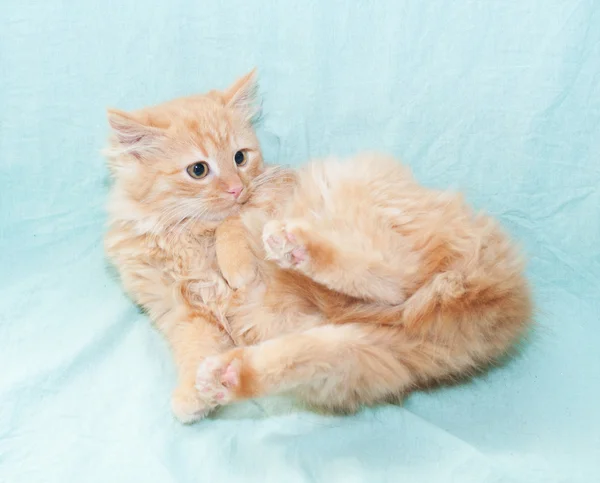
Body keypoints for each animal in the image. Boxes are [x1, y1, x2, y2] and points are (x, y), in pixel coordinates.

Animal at [104, 69, 278, 424]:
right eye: (198, 170)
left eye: (240, 157)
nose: (236, 188)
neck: (187, 237)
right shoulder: (184, 311)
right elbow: (197, 348)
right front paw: (194, 394)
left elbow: (235, 219)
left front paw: (237, 269)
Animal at [195, 153, 532, 414]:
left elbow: (230, 226)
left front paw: (233, 264)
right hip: (363, 354)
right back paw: (226, 376)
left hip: (365, 210)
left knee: (397, 275)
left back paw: (292, 244)